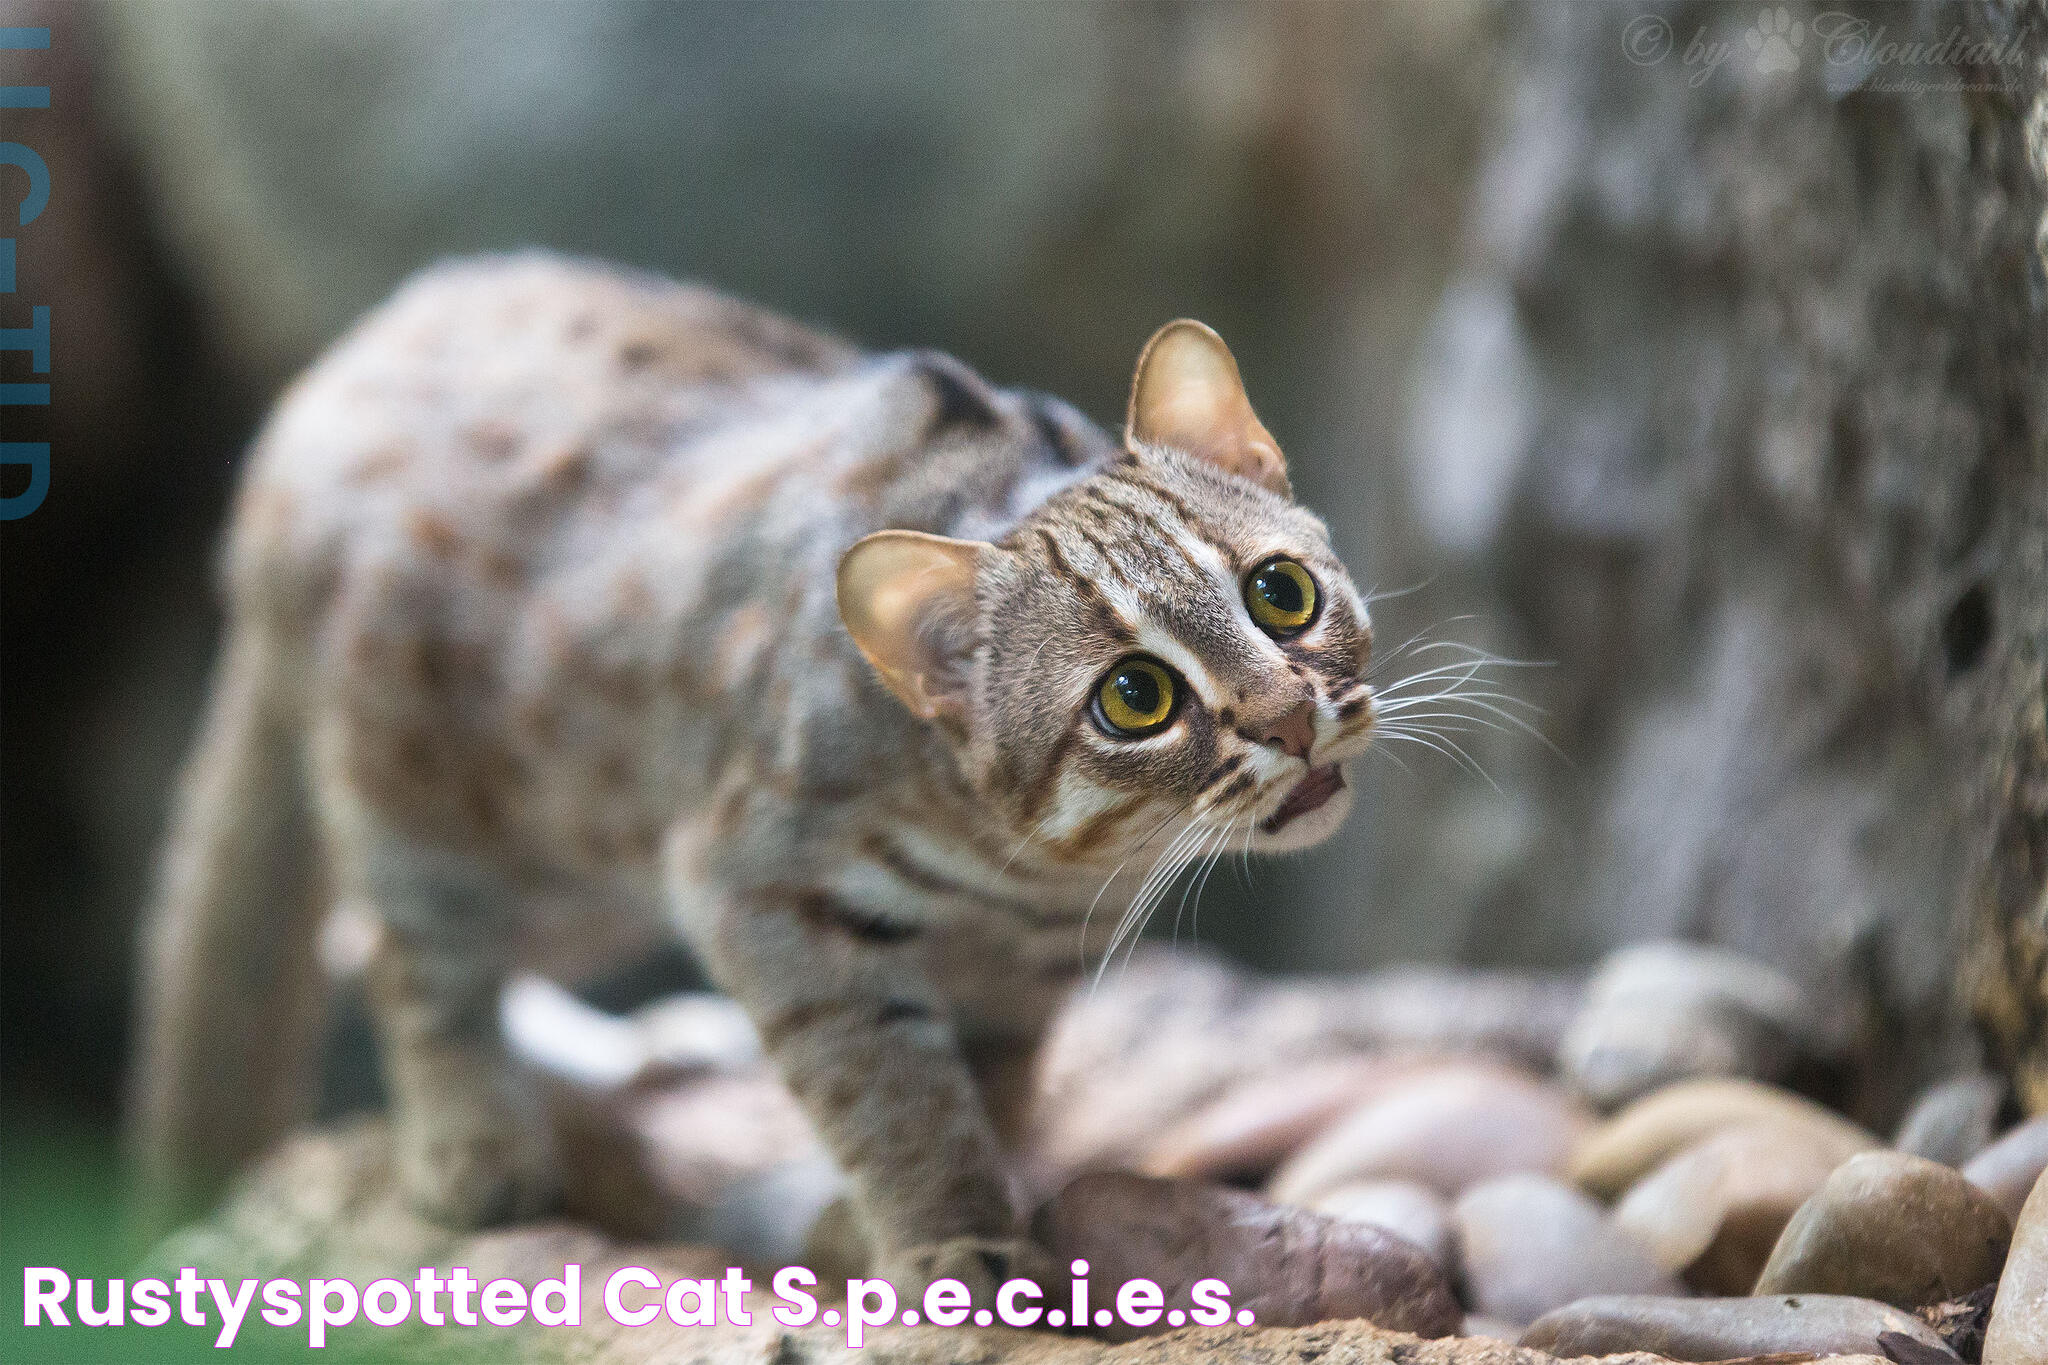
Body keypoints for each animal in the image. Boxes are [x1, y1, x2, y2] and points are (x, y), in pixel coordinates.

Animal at [136, 253, 1384, 1293]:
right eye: (1134, 698)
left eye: (1281, 592)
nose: (1291, 723)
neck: (1031, 871)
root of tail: (319, 387)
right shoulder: (758, 891)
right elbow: (890, 1089)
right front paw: (952, 1240)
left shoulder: (1015, 981)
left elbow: (983, 1089)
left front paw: (878, 1217)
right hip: (442, 806)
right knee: (407, 954)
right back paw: (476, 1139)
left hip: (590, 862)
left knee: (361, 940)